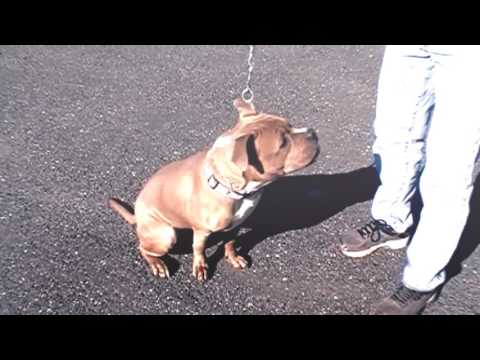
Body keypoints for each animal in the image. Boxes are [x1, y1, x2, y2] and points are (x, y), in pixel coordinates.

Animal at [109, 98, 318, 282]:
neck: (230, 188)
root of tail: (137, 215)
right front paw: (200, 267)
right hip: (165, 235)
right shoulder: (202, 231)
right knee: (143, 248)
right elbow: (199, 249)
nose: (313, 132)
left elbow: (230, 243)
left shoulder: (236, 225)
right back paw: (157, 264)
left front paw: (233, 257)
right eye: (283, 143)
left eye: (290, 124)